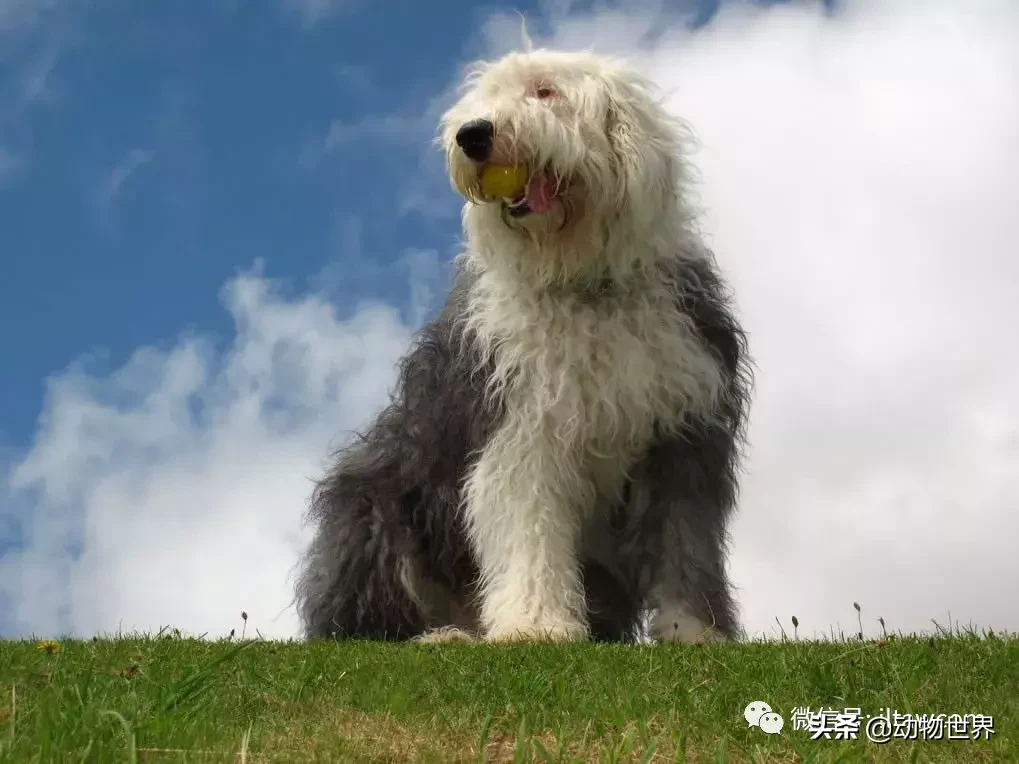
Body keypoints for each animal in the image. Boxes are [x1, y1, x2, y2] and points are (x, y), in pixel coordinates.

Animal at [291, 47, 754, 647]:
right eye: (484, 95)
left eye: (545, 91)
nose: (472, 135)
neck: (582, 282)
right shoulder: (523, 428)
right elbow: (527, 522)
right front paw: (537, 625)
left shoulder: (681, 439)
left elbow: (682, 542)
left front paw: (693, 630)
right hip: (373, 503)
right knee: (367, 626)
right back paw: (443, 637)